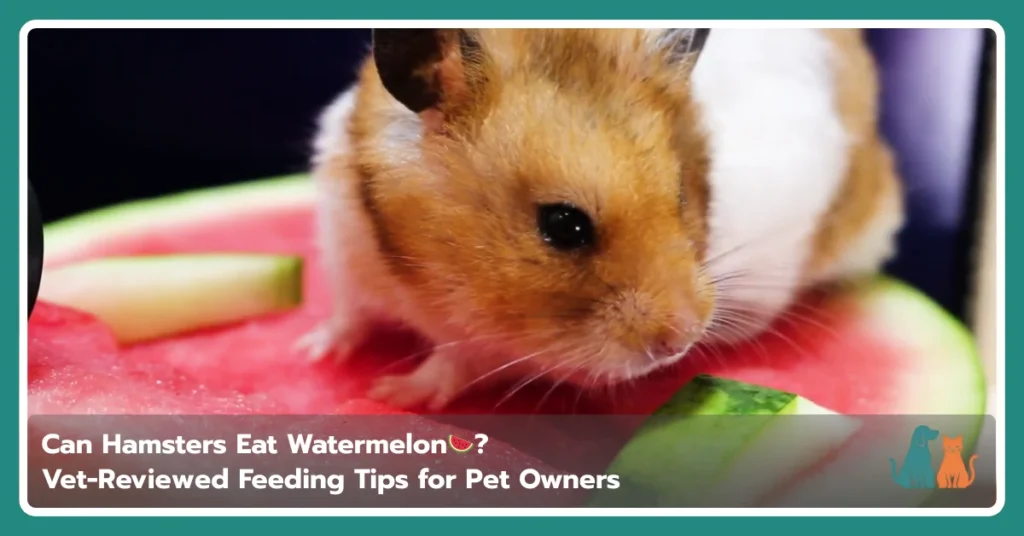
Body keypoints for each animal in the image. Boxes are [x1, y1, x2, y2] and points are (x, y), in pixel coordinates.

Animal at [296, 28, 904, 411]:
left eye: (681, 195)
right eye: (563, 225)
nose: (683, 341)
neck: (416, 267)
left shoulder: (486, 348)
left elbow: (448, 366)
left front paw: (389, 393)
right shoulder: (344, 244)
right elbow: (348, 314)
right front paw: (313, 354)